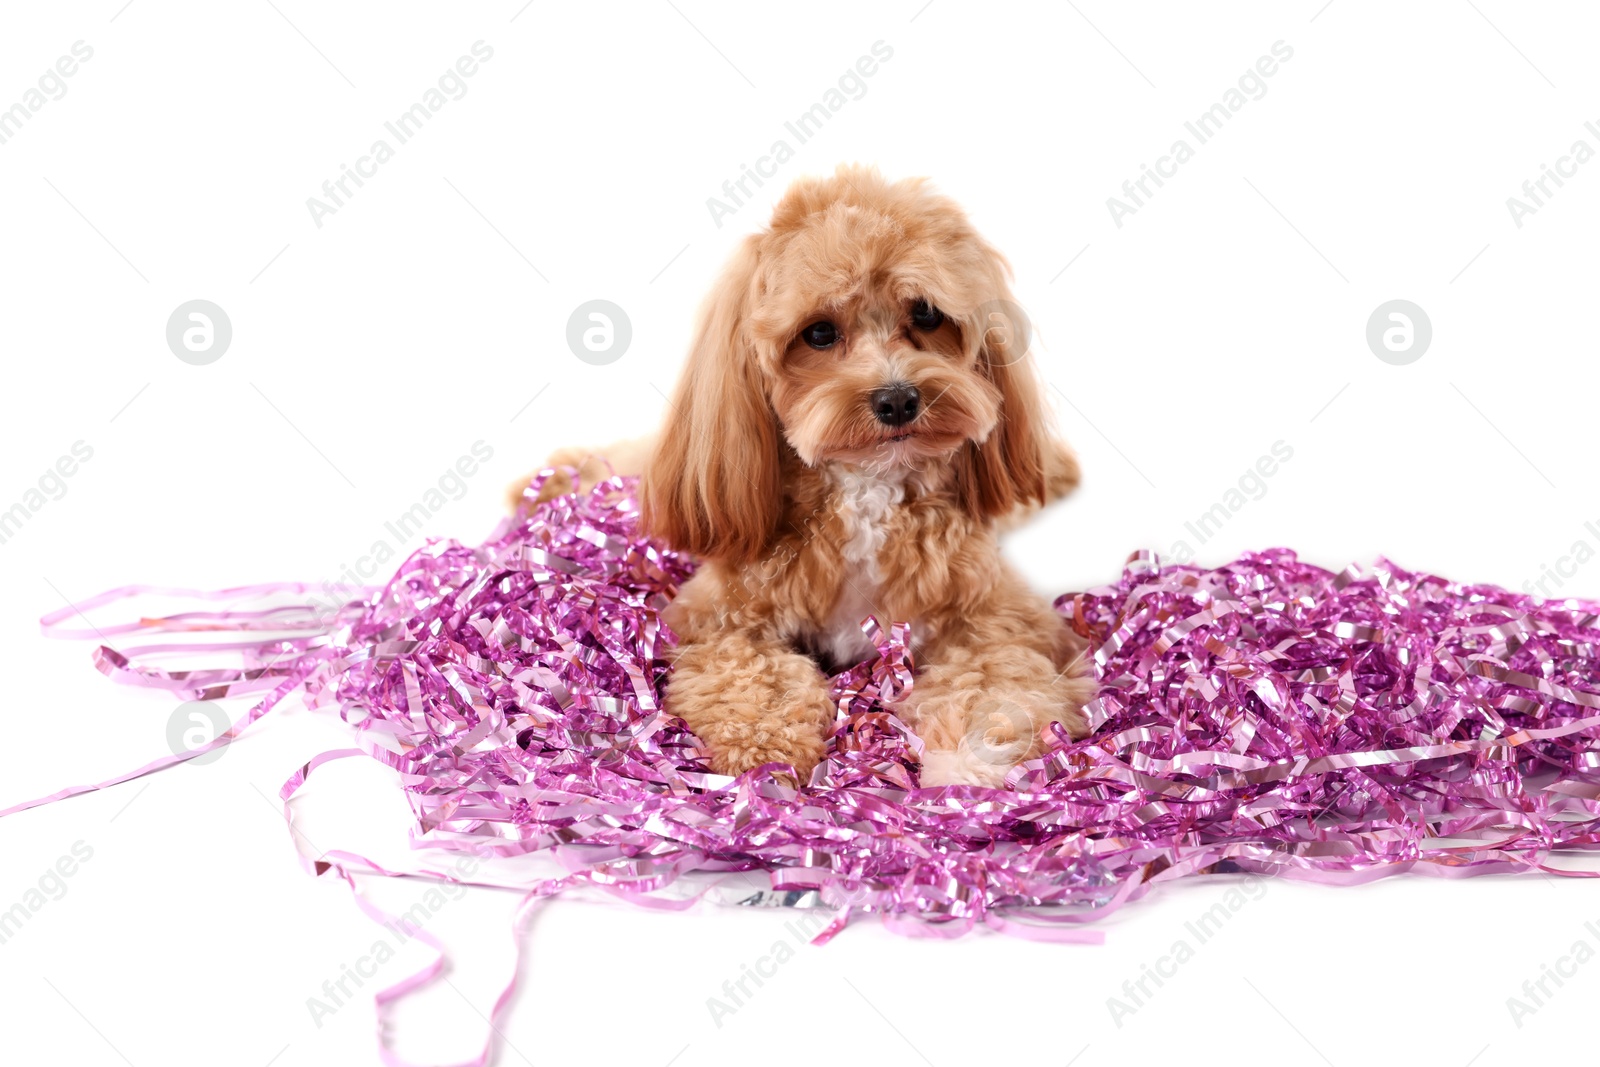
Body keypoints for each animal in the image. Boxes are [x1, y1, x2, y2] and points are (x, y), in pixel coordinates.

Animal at [518, 164, 1094, 783]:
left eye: (926, 314)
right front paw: (765, 750)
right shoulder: (717, 618)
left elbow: (995, 686)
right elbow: (752, 678)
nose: (897, 399)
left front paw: (968, 764)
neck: (867, 487)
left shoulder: (998, 615)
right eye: (818, 333)